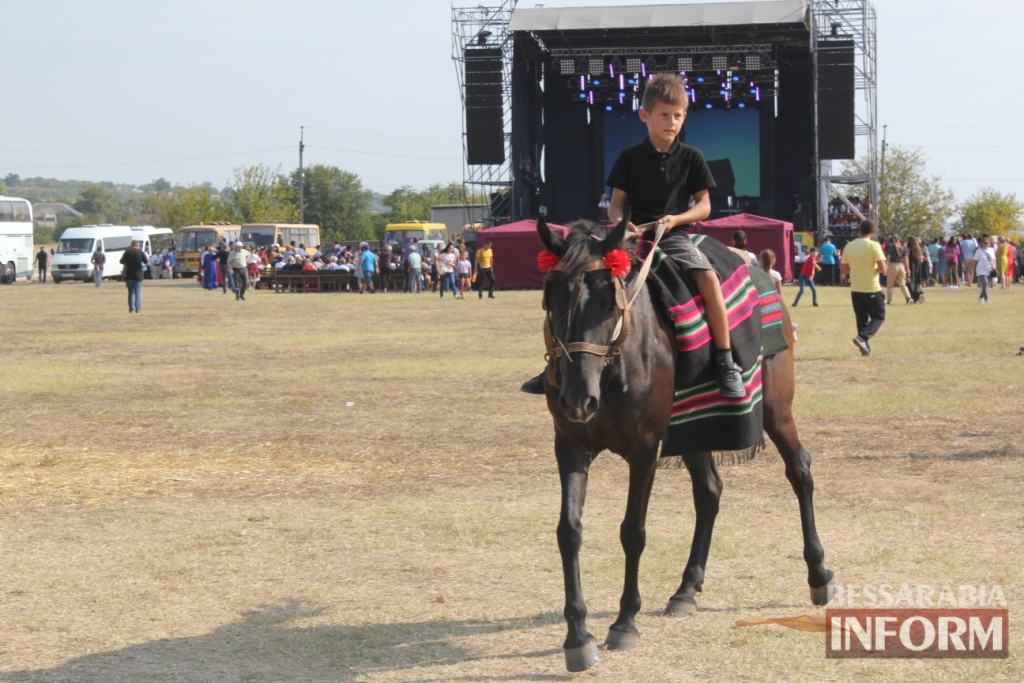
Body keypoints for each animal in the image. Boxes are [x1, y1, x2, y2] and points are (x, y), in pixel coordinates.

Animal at [536, 218, 831, 671]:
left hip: (777, 409)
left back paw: (818, 573)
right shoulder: (570, 445)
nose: (577, 398)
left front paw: (624, 622)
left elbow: (633, 531)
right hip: (697, 429)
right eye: (553, 295)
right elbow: (568, 532)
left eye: (609, 301)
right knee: (710, 491)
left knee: (799, 471)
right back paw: (687, 588)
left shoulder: (645, 448)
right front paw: (578, 636)